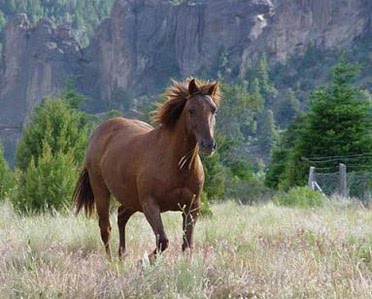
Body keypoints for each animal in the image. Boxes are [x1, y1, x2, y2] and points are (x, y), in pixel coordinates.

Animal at [72, 78, 221, 262]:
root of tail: (100, 131)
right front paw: (143, 261)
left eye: (214, 109)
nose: (208, 145)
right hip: (101, 191)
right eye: (191, 110)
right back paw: (111, 261)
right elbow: (163, 241)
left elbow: (187, 245)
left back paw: (122, 255)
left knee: (121, 215)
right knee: (105, 228)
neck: (176, 166)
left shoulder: (192, 208)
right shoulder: (150, 205)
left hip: (132, 199)